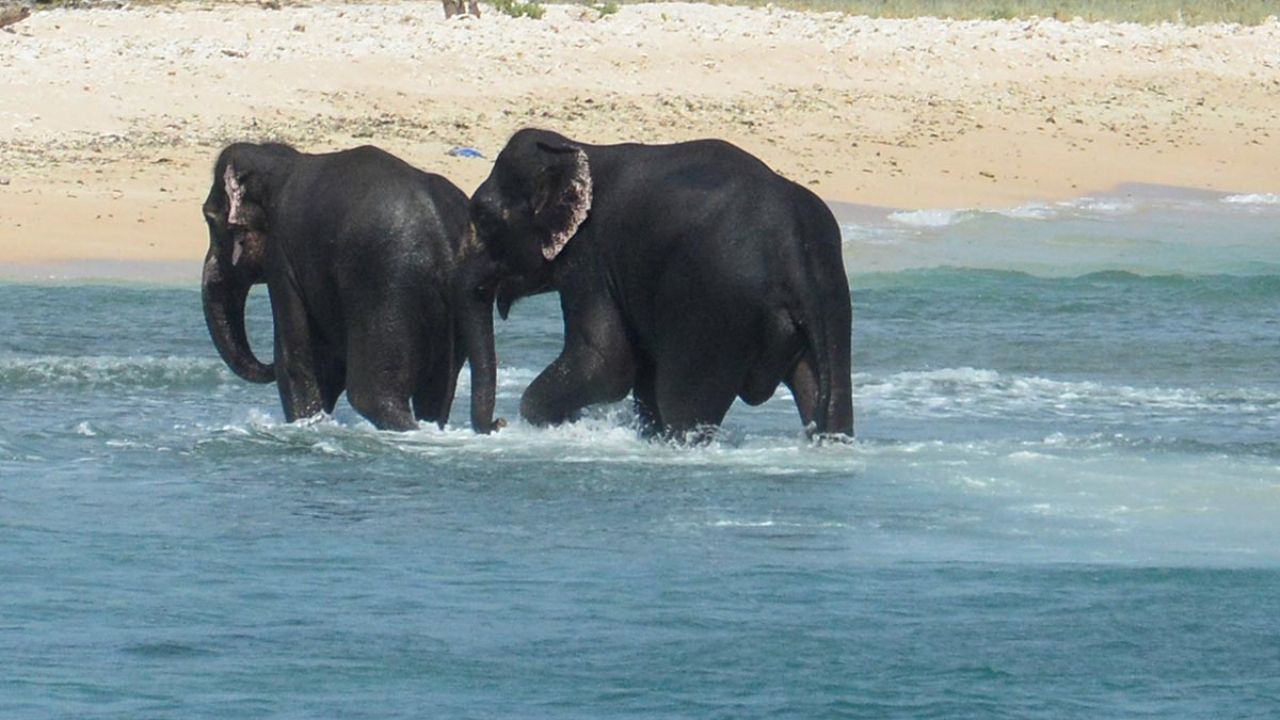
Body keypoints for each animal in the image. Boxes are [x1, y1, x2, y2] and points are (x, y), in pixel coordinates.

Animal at [200, 142, 499, 427]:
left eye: (209, 218)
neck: (280, 160)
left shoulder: (282, 255)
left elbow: (298, 357)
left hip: (386, 289)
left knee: (372, 396)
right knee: (435, 397)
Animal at [468, 129, 849, 440]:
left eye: (483, 217)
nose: (498, 423)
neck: (581, 149)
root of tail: (793, 250)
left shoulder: (590, 258)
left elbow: (607, 362)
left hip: (715, 313)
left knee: (680, 404)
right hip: (830, 294)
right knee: (828, 399)